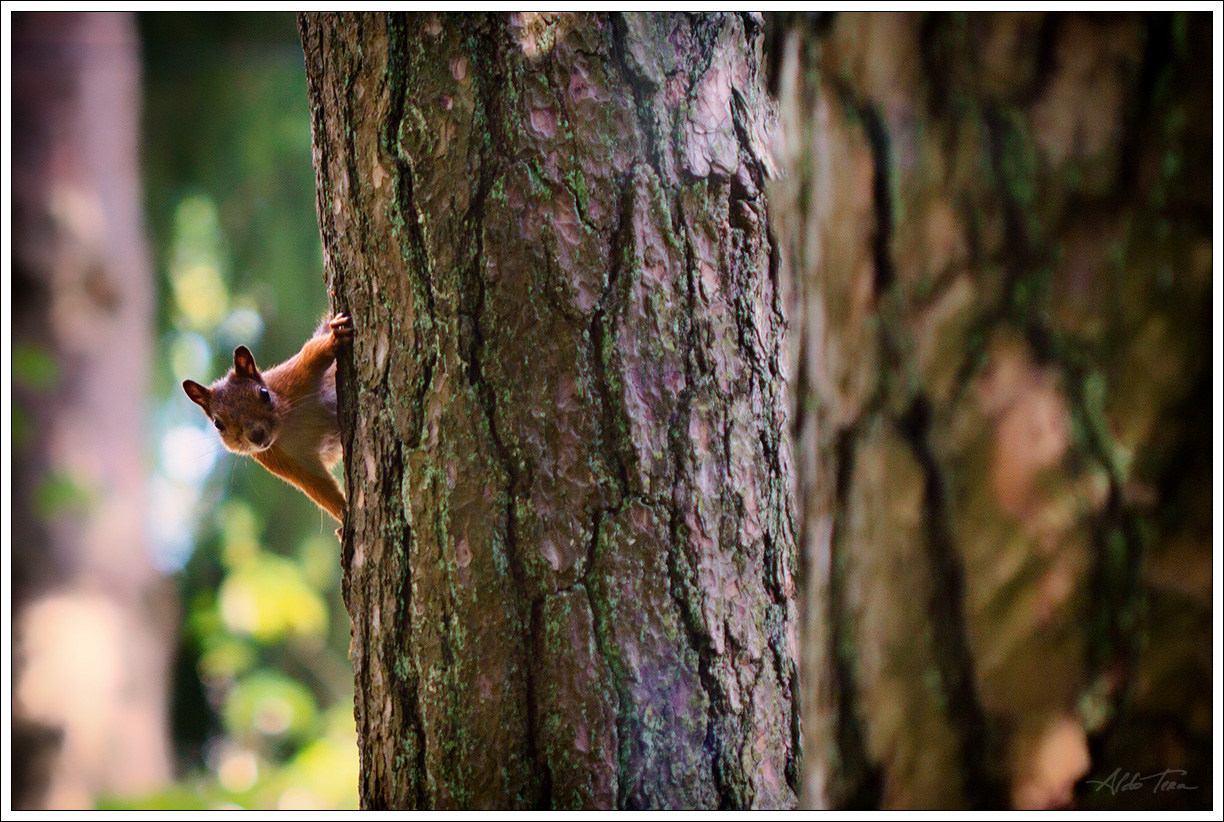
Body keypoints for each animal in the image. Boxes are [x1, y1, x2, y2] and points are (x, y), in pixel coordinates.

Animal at [183, 311, 352, 523]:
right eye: (218, 424)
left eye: (264, 393)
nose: (256, 435)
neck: (286, 428)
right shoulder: (283, 459)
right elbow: (317, 486)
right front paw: (343, 516)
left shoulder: (292, 379)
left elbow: (311, 353)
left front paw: (333, 338)